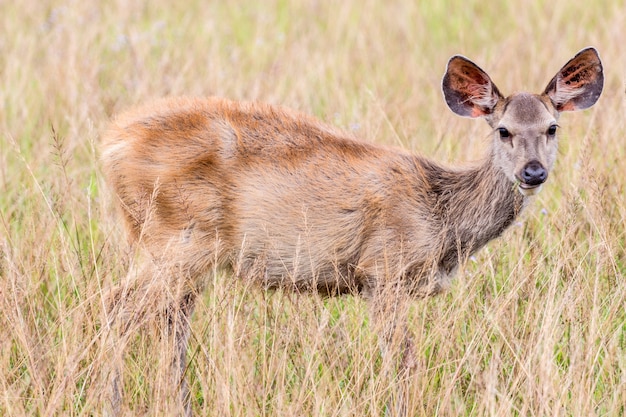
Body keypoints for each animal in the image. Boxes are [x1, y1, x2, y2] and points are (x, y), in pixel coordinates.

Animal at [100, 48, 604, 412]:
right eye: (503, 130)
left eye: (552, 127)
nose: (533, 172)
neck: (440, 214)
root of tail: (111, 144)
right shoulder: (382, 270)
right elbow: (404, 361)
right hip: (178, 237)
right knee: (117, 307)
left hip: (177, 250)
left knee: (169, 323)